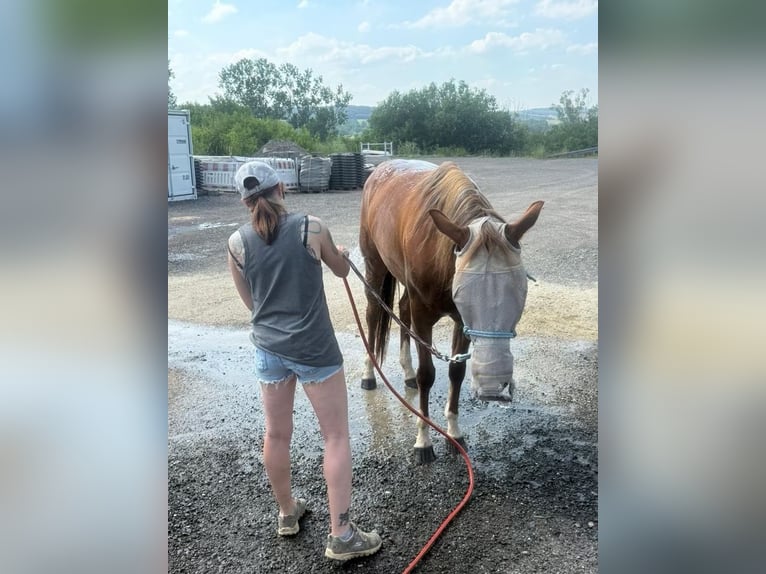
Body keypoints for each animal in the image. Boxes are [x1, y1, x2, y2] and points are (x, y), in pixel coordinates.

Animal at [358, 159, 543, 464]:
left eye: (521, 289)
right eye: (462, 292)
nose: (494, 385)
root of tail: (380, 169)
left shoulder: (461, 322)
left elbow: (457, 370)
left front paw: (454, 433)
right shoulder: (423, 316)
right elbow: (427, 375)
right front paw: (423, 440)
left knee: (402, 310)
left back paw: (406, 372)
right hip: (374, 266)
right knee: (373, 315)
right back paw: (369, 375)